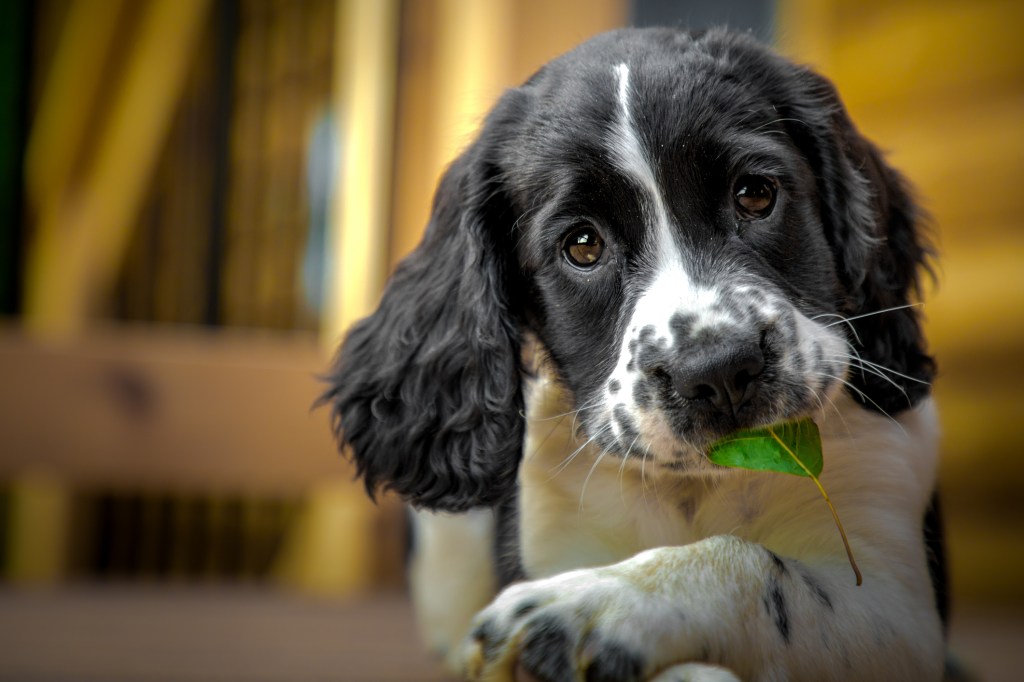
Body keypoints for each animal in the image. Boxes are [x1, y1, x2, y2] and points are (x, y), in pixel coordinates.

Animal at [323, 26, 946, 679]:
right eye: (582, 244)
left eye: (755, 194)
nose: (719, 371)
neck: (695, 488)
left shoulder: (896, 601)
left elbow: (754, 565)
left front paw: (592, 603)